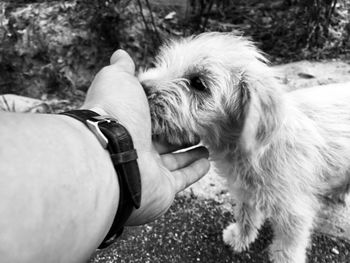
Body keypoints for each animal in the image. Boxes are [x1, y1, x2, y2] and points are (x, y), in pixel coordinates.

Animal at [138, 32, 350, 262]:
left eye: (198, 83)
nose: (142, 87)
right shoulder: (245, 192)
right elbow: (245, 215)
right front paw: (240, 237)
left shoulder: (294, 211)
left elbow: (289, 243)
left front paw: (284, 257)